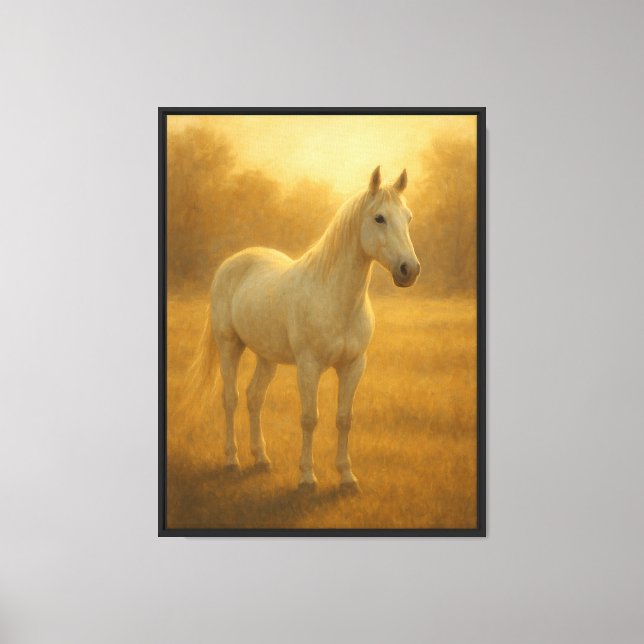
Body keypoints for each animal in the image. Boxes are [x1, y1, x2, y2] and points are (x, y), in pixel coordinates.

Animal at [196, 166, 420, 492]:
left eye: (408, 217)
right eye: (379, 218)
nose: (409, 270)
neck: (335, 298)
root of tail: (232, 262)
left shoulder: (354, 366)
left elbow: (344, 418)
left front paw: (347, 477)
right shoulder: (309, 367)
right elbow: (309, 418)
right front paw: (307, 477)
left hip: (267, 357)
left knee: (254, 397)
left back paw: (261, 459)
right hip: (229, 346)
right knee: (231, 399)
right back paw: (232, 461)